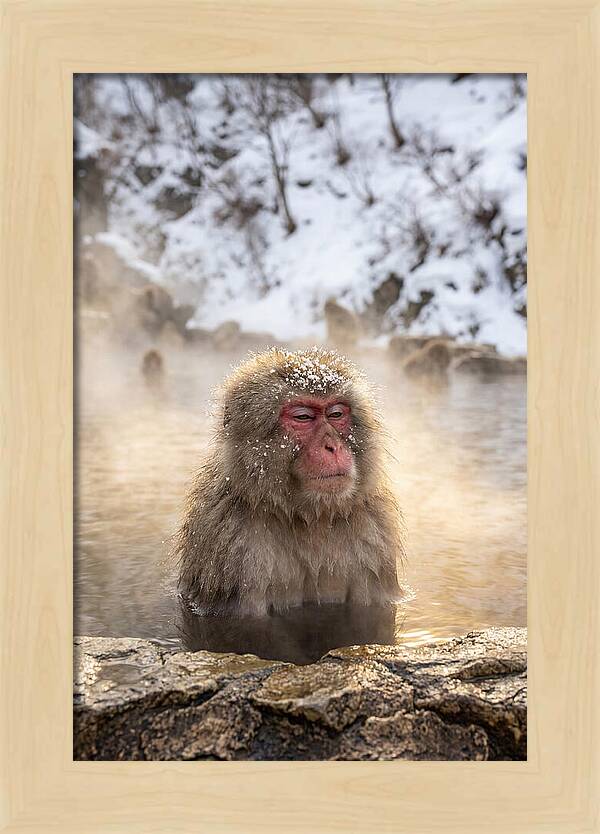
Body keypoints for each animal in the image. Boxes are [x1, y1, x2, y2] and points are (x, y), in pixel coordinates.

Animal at [174, 347, 405, 616]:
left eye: (336, 414)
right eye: (303, 417)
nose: (333, 447)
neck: (309, 518)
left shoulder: (374, 537)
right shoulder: (231, 546)